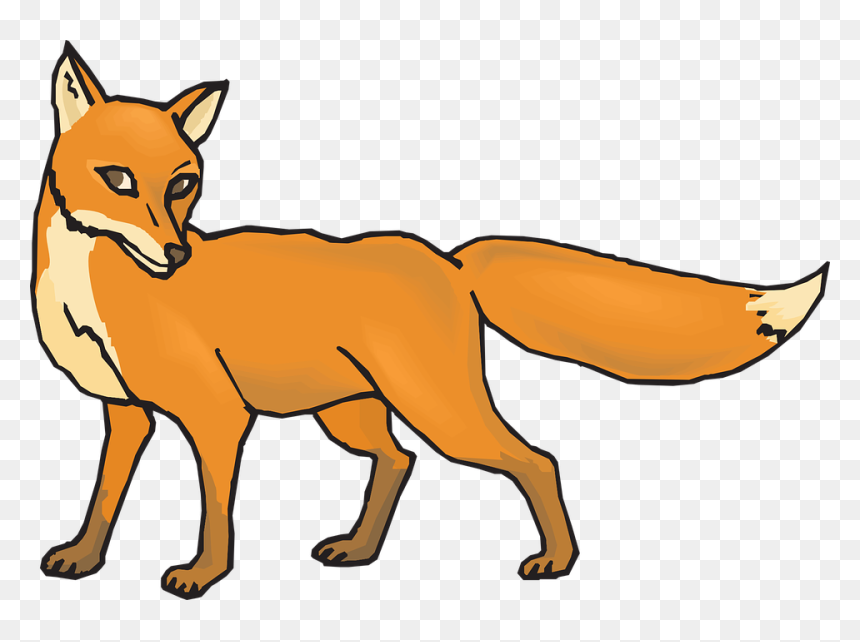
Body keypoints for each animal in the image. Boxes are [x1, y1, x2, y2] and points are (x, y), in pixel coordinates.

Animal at [32, 42, 828, 599]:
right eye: (119, 178)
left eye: (183, 183)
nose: (176, 254)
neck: (88, 292)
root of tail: (448, 259)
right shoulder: (124, 413)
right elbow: (103, 498)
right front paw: (82, 559)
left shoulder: (217, 415)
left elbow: (213, 511)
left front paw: (203, 575)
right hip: (351, 413)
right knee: (398, 461)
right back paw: (360, 550)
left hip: (439, 409)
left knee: (534, 459)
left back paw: (557, 561)